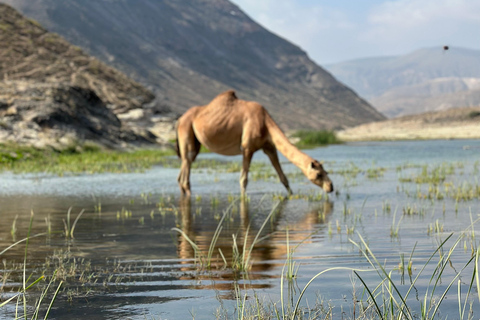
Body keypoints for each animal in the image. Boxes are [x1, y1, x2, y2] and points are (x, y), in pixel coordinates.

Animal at [175, 89, 334, 196]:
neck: (265, 122)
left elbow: (283, 178)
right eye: (318, 174)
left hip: (195, 142)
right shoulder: (247, 148)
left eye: (325, 171)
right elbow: (243, 179)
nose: (331, 187)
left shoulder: (269, 147)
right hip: (187, 131)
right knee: (186, 171)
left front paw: (291, 195)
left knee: (184, 167)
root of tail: (179, 120)